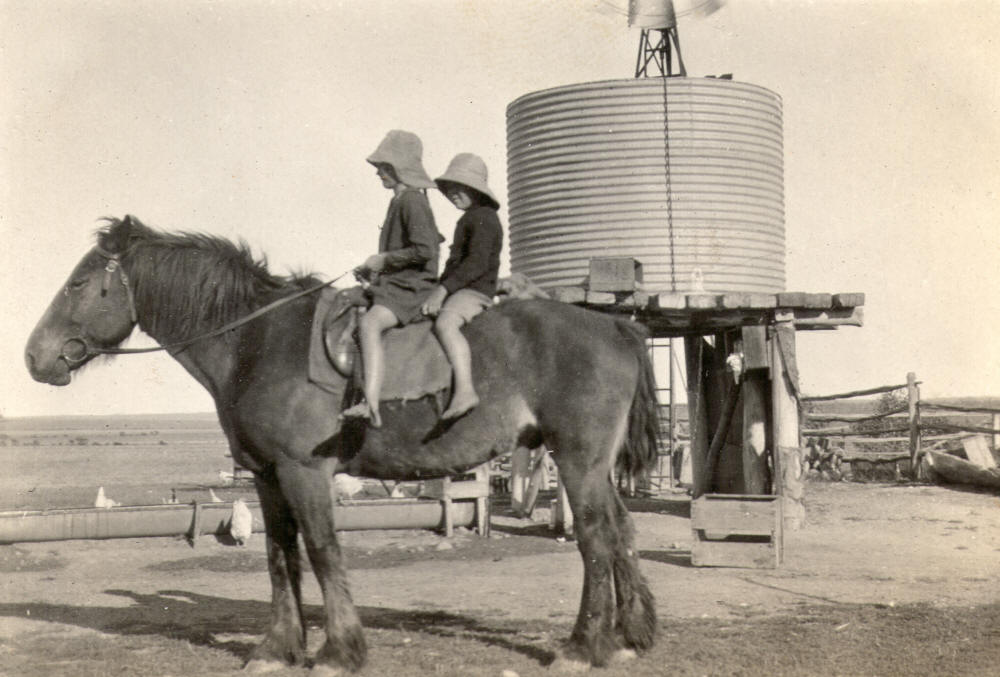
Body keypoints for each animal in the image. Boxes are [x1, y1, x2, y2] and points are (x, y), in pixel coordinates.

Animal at [23, 215, 660, 672]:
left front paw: (338, 650)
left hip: (577, 460)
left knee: (596, 538)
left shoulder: (304, 472)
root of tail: (615, 324)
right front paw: (278, 648)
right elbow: (280, 557)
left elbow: (324, 550)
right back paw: (630, 634)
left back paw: (583, 645)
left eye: (78, 283)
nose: (34, 356)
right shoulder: (267, 477)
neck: (257, 341)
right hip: (595, 465)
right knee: (622, 530)